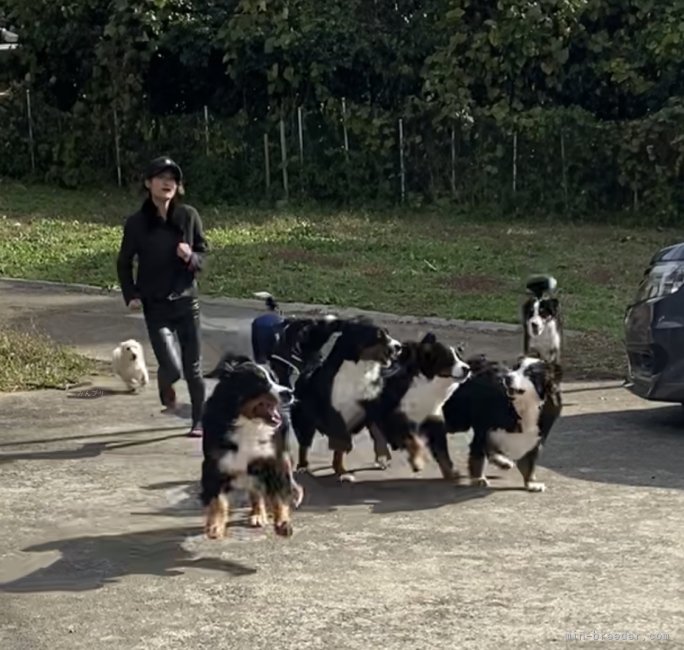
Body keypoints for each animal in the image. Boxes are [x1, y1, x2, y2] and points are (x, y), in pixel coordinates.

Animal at [198, 354, 296, 536]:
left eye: (275, 379)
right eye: (260, 382)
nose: (289, 392)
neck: (248, 424)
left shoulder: (273, 460)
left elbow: (278, 496)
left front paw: (282, 522)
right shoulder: (214, 463)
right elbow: (217, 499)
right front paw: (215, 525)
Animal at [288, 316, 400, 478]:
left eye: (388, 333)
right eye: (379, 335)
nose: (399, 346)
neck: (359, 370)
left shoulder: (371, 407)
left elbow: (378, 436)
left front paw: (382, 459)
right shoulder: (336, 414)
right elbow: (341, 445)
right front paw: (341, 471)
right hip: (304, 421)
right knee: (304, 445)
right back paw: (303, 466)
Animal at [440, 354, 564, 492]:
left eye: (529, 373)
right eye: (515, 368)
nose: (507, 378)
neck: (521, 407)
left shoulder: (535, 439)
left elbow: (529, 463)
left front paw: (531, 482)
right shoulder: (483, 428)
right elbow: (478, 456)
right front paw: (478, 478)